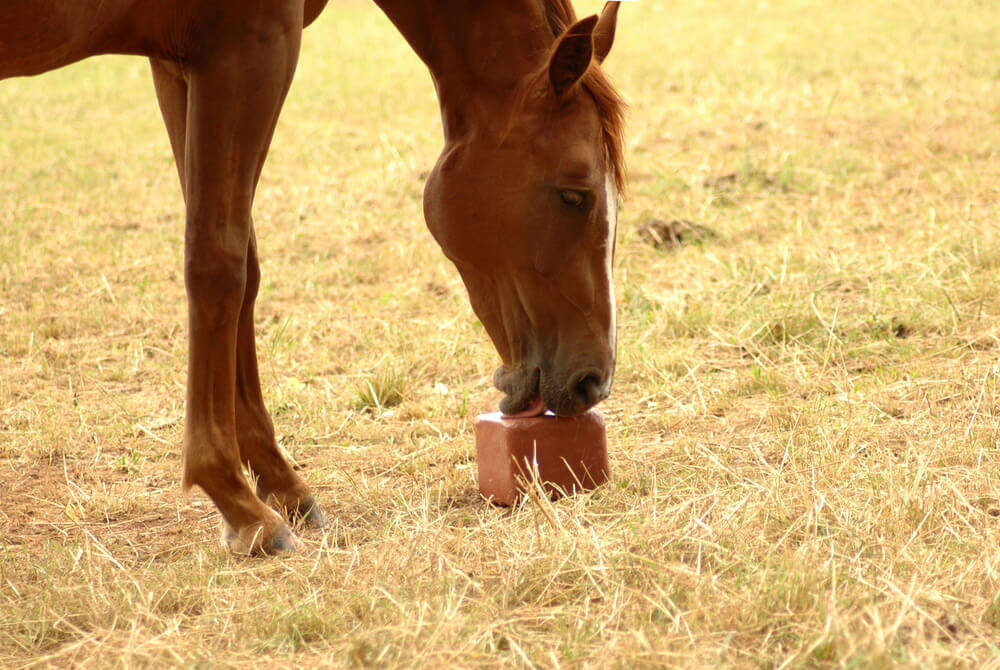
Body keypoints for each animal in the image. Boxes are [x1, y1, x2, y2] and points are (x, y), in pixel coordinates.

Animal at [0, 0, 624, 556]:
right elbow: (218, 264)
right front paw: (240, 504)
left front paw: (280, 483)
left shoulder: (178, 62)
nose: (594, 381)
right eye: (575, 195)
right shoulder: (249, 48)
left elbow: (245, 268)